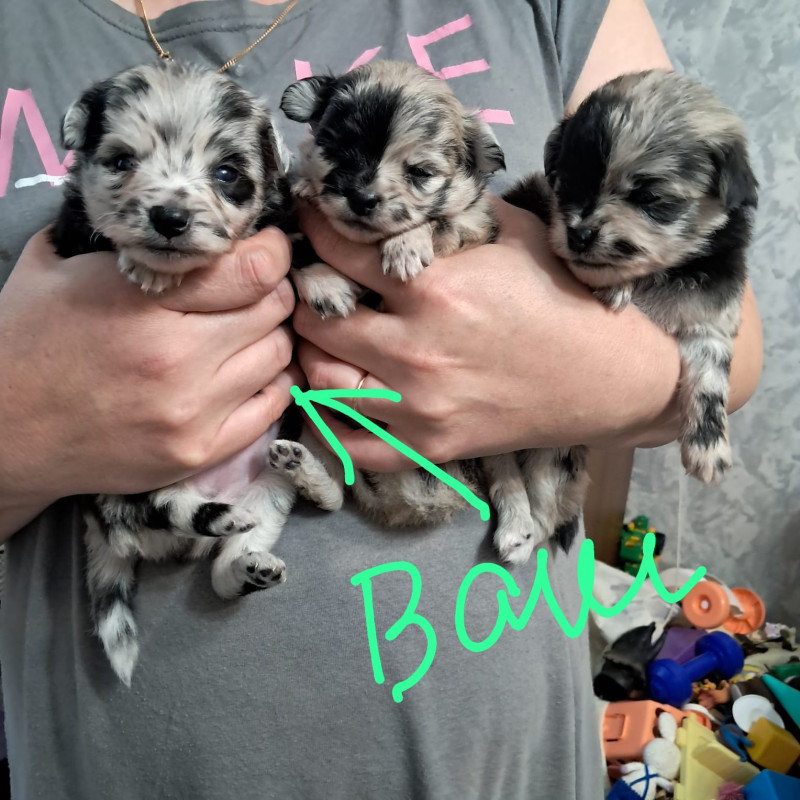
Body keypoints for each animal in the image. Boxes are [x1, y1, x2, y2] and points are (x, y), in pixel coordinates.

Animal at [51, 61, 343, 685]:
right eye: (120, 162)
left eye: (227, 173)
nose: (169, 217)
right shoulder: (73, 234)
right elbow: (105, 239)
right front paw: (147, 264)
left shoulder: (277, 215)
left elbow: (294, 239)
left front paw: (327, 282)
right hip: (125, 482)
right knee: (168, 510)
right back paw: (218, 516)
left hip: (274, 483)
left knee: (238, 557)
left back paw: (269, 525)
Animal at [274, 60, 567, 564]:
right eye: (339, 149)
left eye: (420, 172)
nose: (362, 197)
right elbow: (296, 246)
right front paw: (326, 279)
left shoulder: (471, 227)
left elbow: (438, 221)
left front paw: (406, 245)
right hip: (316, 418)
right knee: (334, 492)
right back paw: (301, 467)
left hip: (492, 438)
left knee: (507, 477)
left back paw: (517, 532)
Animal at [505, 69, 757, 541]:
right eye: (567, 182)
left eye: (651, 198)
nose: (579, 234)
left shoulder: (709, 321)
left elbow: (712, 380)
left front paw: (709, 448)